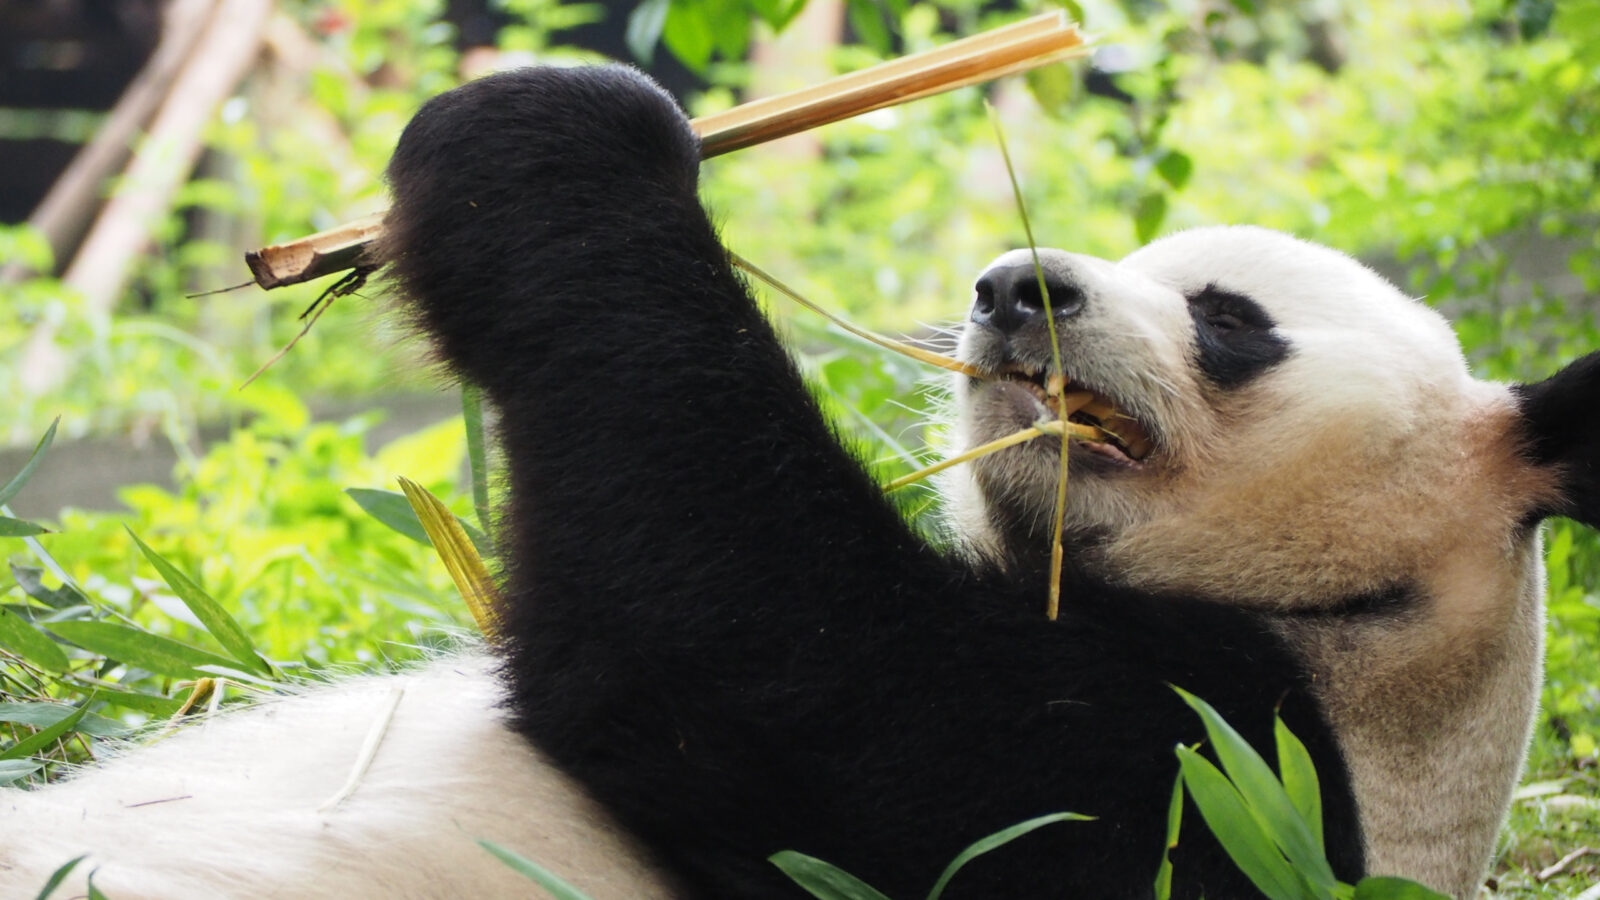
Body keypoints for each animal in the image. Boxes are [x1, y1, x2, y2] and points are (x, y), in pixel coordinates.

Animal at [3, 63, 1597, 899]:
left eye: (1227, 317)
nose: (1014, 287)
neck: (1361, 633)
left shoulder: (1204, 778)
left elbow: (761, 650)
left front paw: (559, 137)